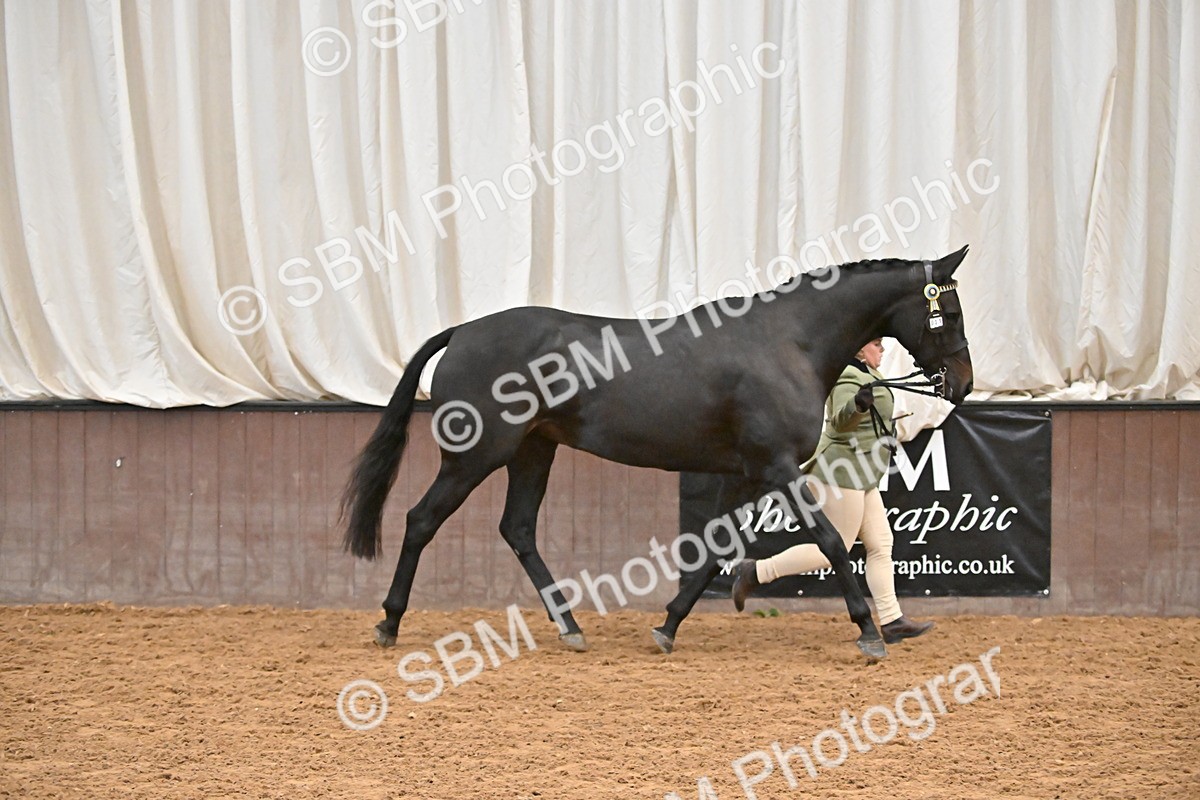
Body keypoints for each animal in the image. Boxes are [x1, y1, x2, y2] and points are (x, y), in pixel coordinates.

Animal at [341, 246, 973, 661]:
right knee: (421, 519)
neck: (787, 342)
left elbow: (716, 551)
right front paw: (868, 632)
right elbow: (831, 542)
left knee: (517, 529)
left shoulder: (744, 474)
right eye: (949, 313)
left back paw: (571, 628)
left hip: (533, 451)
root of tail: (462, 332)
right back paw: (389, 623)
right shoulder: (777, 468)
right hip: (476, 456)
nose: (963, 384)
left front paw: (668, 625)